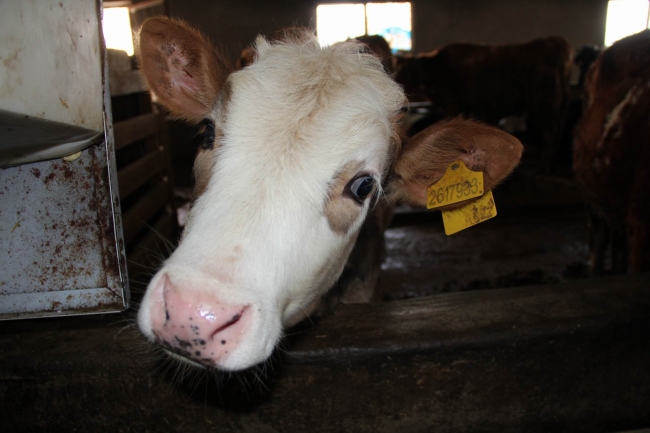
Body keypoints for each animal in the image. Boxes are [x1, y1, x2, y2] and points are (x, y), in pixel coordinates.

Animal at [394, 36, 572, 170]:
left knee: (550, 135)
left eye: (401, 70)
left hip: (544, 105)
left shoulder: (453, 104)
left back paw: (543, 167)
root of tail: (552, 41)